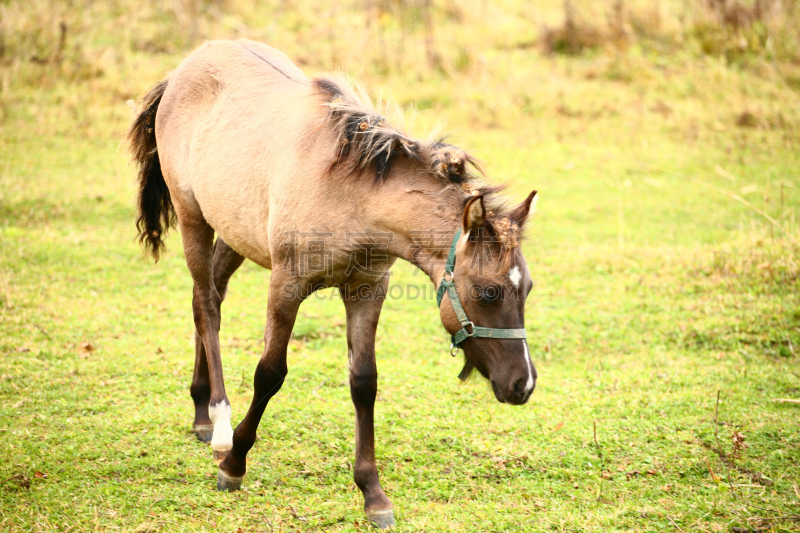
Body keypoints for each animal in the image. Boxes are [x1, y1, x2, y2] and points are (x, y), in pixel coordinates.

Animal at [126, 38, 536, 528]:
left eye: (528, 289)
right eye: (488, 292)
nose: (524, 385)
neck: (351, 195)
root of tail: (183, 70)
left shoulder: (367, 288)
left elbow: (364, 381)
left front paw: (373, 493)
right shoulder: (286, 285)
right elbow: (270, 373)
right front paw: (235, 464)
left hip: (234, 231)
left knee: (208, 298)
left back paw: (200, 412)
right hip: (194, 219)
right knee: (206, 305)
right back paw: (220, 422)